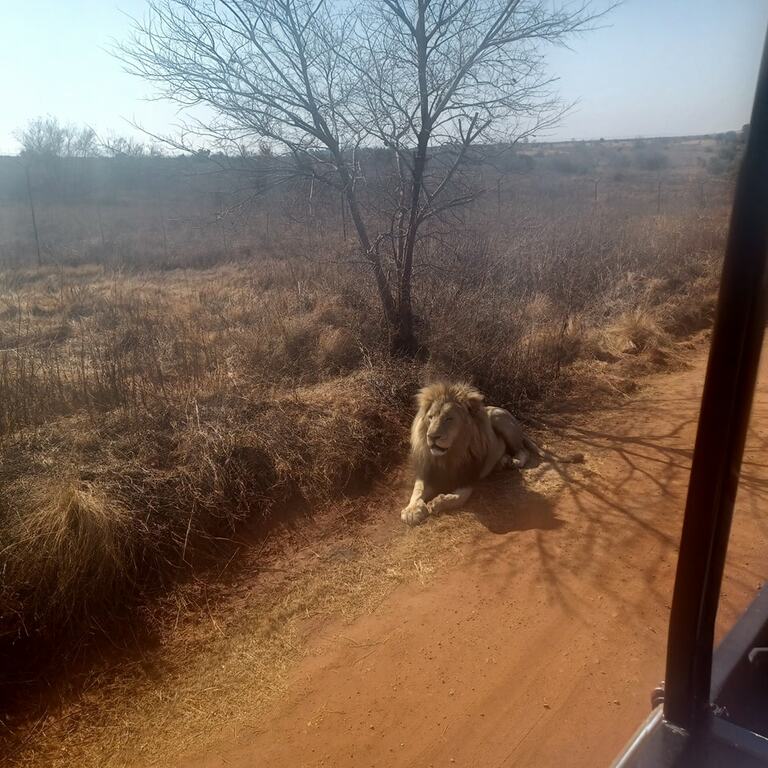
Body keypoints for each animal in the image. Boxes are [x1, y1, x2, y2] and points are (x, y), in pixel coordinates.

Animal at [400, 382, 583, 525]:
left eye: (449, 419)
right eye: (430, 417)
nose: (431, 437)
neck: (449, 456)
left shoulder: (469, 477)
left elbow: (458, 497)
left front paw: (437, 502)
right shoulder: (428, 472)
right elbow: (417, 491)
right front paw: (411, 511)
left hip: (499, 420)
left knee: (522, 450)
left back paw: (514, 462)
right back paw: (503, 462)